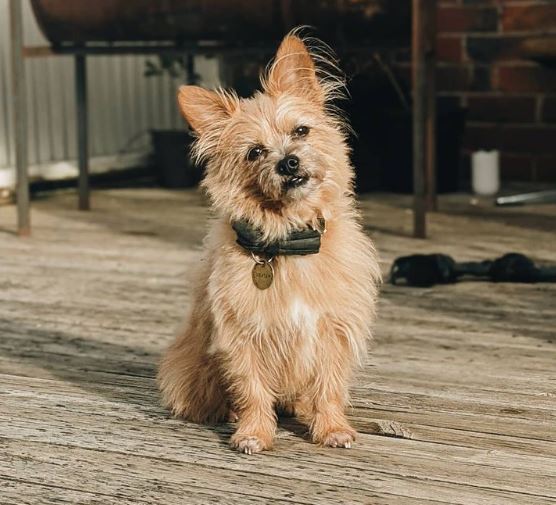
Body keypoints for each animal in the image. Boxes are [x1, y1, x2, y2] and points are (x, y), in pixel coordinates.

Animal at [159, 32, 380, 456]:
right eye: (255, 152)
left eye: (301, 131)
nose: (288, 163)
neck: (288, 238)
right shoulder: (242, 335)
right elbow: (251, 389)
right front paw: (255, 432)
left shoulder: (333, 331)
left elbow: (329, 386)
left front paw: (331, 428)